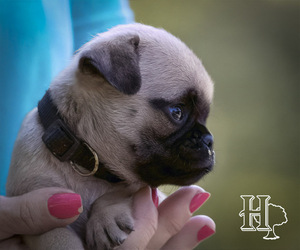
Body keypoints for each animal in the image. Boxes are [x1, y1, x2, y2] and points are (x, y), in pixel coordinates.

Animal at [5, 22, 214, 249]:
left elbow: (120, 191)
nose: (209, 141)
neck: (85, 163)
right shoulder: (41, 205)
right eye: (177, 112)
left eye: (205, 117)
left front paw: (106, 217)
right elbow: (58, 236)